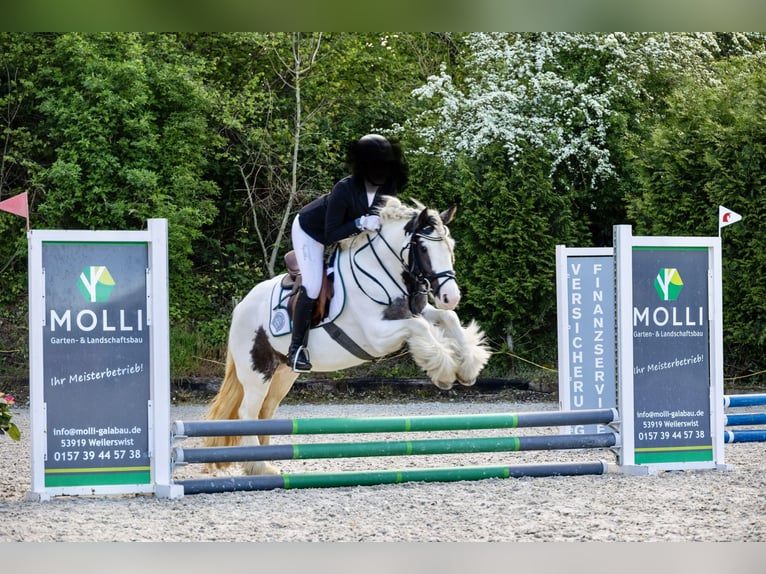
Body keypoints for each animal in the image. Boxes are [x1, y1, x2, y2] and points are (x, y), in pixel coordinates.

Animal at [204, 198, 492, 476]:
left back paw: (265, 461)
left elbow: (448, 318)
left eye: (450, 247)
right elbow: (420, 327)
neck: (381, 271)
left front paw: (467, 368)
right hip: (257, 371)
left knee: (265, 410)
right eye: (422, 248)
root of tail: (241, 307)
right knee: (247, 412)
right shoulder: (378, 335)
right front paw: (444, 373)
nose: (450, 296)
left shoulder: (414, 311)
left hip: (282, 373)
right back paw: (259, 465)